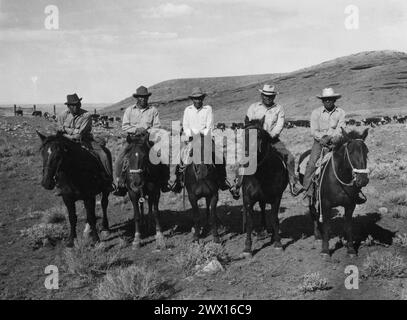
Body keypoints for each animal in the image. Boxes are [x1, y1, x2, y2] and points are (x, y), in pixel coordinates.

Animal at [241, 117, 288, 258]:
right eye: (243, 135)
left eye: (259, 136)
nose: (246, 158)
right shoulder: (248, 199)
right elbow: (250, 223)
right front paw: (247, 248)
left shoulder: (276, 197)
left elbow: (274, 218)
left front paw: (278, 243)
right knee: (262, 208)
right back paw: (263, 231)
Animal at [304, 127, 372, 258]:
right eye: (350, 152)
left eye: (366, 151)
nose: (363, 180)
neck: (340, 178)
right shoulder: (326, 204)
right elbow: (326, 226)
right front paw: (325, 251)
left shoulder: (350, 205)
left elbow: (348, 226)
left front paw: (350, 250)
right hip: (312, 198)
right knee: (313, 213)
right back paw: (317, 235)